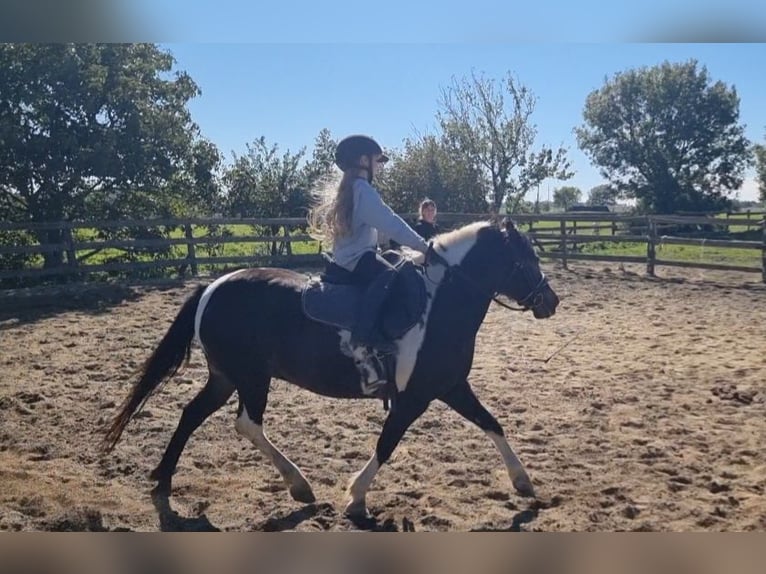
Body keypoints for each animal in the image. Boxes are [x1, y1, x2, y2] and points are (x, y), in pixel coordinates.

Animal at [102, 219, 560, 519]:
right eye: (524, 260)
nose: (550, 301)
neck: (438, 305)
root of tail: (212, 287)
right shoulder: (414, 398)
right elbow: (387, 444)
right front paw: (356, 497)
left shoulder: (450, 386)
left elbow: (492, 423)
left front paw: (523, 482)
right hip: (251, 377)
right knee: (247, 424)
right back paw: (298, 485)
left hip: (225, 377)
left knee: (191, 414)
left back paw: (164, 478)